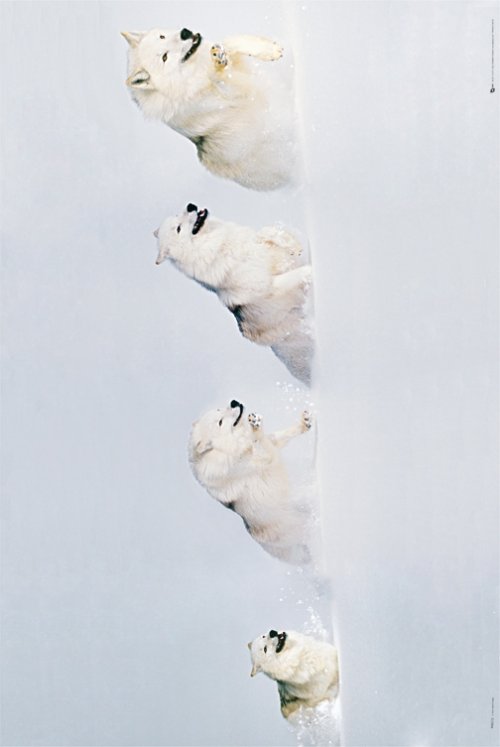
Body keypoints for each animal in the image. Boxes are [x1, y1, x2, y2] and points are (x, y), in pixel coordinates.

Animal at [122, 27, 296, 190]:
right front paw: (218, 63)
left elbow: (231, 41)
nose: (185, 33)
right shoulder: (233, 92)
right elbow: (218, 75)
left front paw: (270, 50)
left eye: (162, 36)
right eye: (165, 57)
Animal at [155, 204, 314, 385]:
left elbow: (271, 234)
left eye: (177, 216)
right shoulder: (272, 287)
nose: (190, 205)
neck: (222, 249)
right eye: (179, 229)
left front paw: (284, 240)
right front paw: (314, 271)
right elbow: (298, 274)